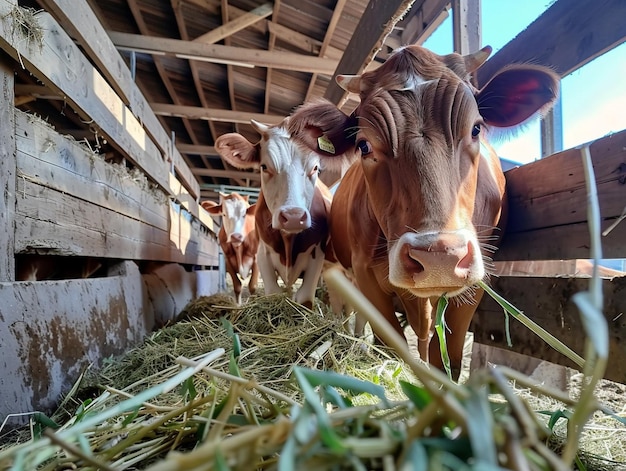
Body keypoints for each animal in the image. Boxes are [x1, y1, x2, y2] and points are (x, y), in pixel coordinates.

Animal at [213, 98, 354, 310]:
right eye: (264, 167)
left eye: (315, 168)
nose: (293, 217)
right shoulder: (261, 256)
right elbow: (272, 293)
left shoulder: (317, 257)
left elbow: (305, 299)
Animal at [326, 44, 556, 380]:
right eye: (364, 145)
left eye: (476, 129)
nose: (439, 258)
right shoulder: (364, 272)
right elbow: (392, 346)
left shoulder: (477, 278)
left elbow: (447, 359)